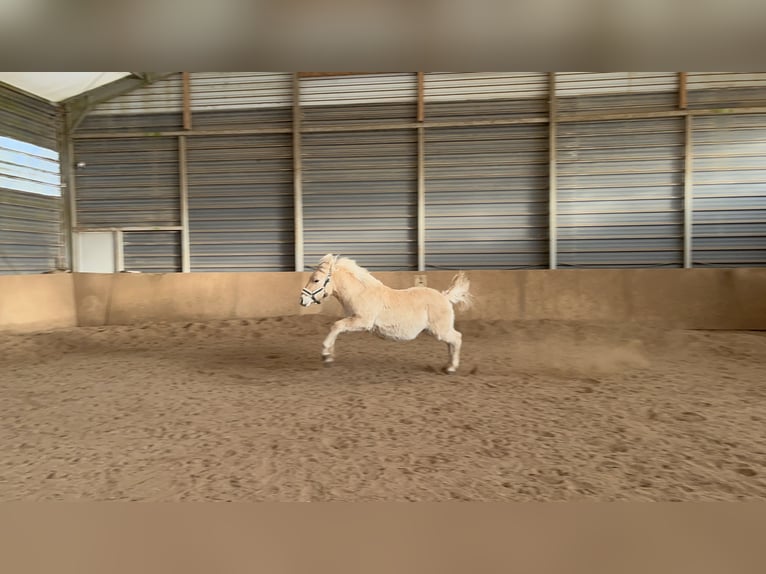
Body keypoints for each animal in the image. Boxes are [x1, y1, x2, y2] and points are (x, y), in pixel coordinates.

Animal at [299, 254, 474, 373]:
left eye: (316, 280)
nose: (302, 300)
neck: (360, 292)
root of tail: (445, 297)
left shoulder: (362, 321)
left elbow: (336, 326)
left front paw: (326, 355)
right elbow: (337, 328)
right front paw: (330, 356)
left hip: (440, 330)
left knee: (457, 339)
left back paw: (451, 368)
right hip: (437, 331)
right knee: (451, 343)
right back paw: (447, 365)